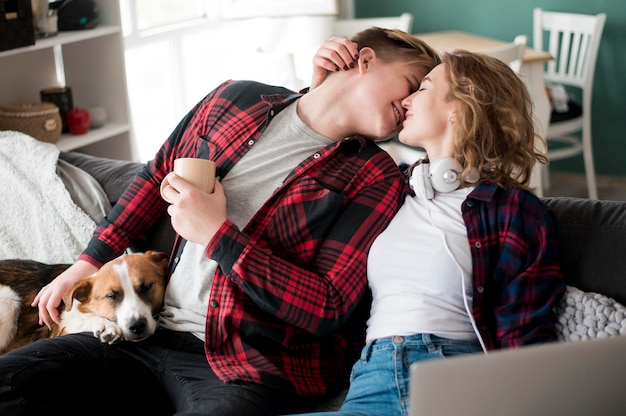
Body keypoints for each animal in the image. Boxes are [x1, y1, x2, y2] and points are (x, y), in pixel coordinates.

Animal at [0, 250, 168, 354]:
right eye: (111, 296)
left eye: (147, 287)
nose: (137, 326)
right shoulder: (62, 330)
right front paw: (104, 324)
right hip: (8, 298)